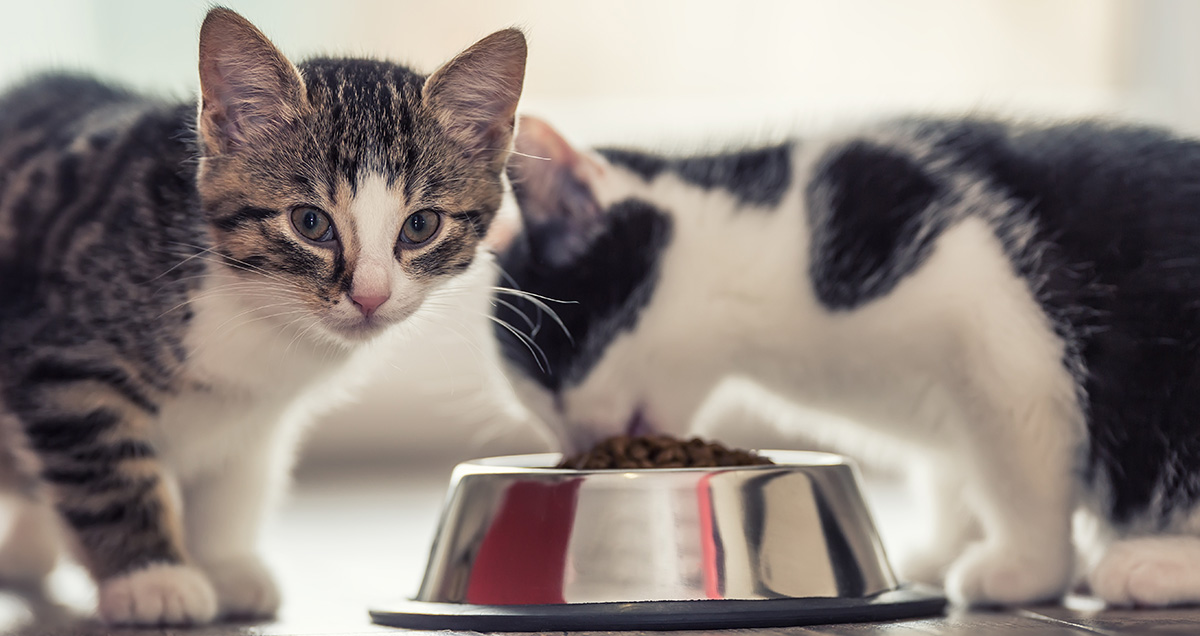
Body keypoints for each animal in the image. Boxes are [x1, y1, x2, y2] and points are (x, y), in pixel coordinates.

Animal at [0, 7, 525, 624]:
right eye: (309, 222)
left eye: (421, 225)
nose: (370, 296)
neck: (256, 308)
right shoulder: (63, 358)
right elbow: (105, 470)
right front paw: (152, 578)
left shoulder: (257, 415)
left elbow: (234, 484)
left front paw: (223, 565)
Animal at [492, 116, 1200, 607]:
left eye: (558, 366)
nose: (577, 444)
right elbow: (956, 470)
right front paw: (946, 546)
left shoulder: (987, 311)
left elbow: (1016, 465)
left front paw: (1023, 569)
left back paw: (1149, 563)